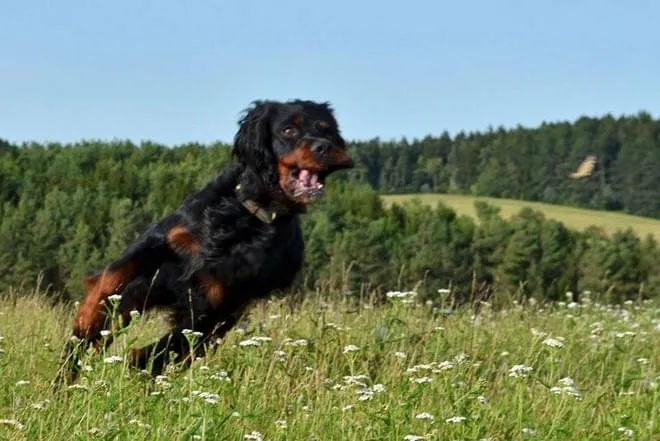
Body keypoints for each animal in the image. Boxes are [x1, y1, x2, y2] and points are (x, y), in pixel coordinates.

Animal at [60, 99, 353, 382]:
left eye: (327, 130)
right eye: (288, 130)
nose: (324, 147)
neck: (245, 216)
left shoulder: (218, 301)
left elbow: (174, 342)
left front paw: (140, 359)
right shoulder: (164, 239)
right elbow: (113, 276)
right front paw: (88, 316)